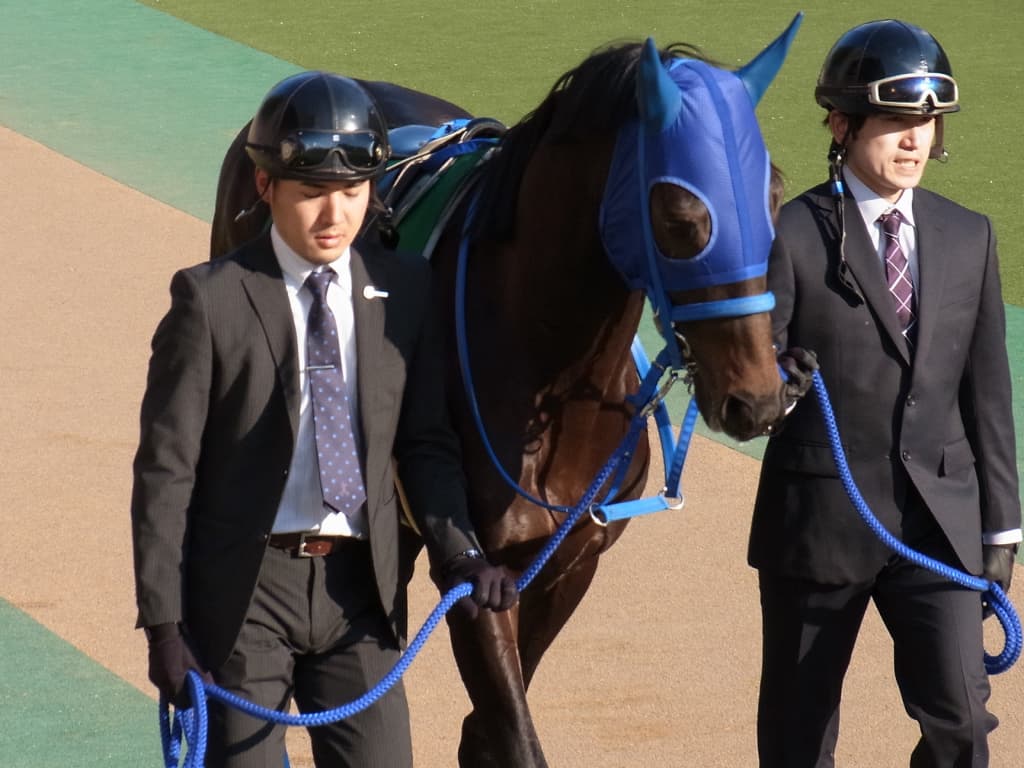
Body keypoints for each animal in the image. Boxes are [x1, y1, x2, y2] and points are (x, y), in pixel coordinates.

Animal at [211, 15, 802, 767]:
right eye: (678, 214)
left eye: (775, 195)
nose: (759, 398)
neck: (554, 383)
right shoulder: (477, 571)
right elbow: (511, 732)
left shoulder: (570, 560)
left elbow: (490, 732)